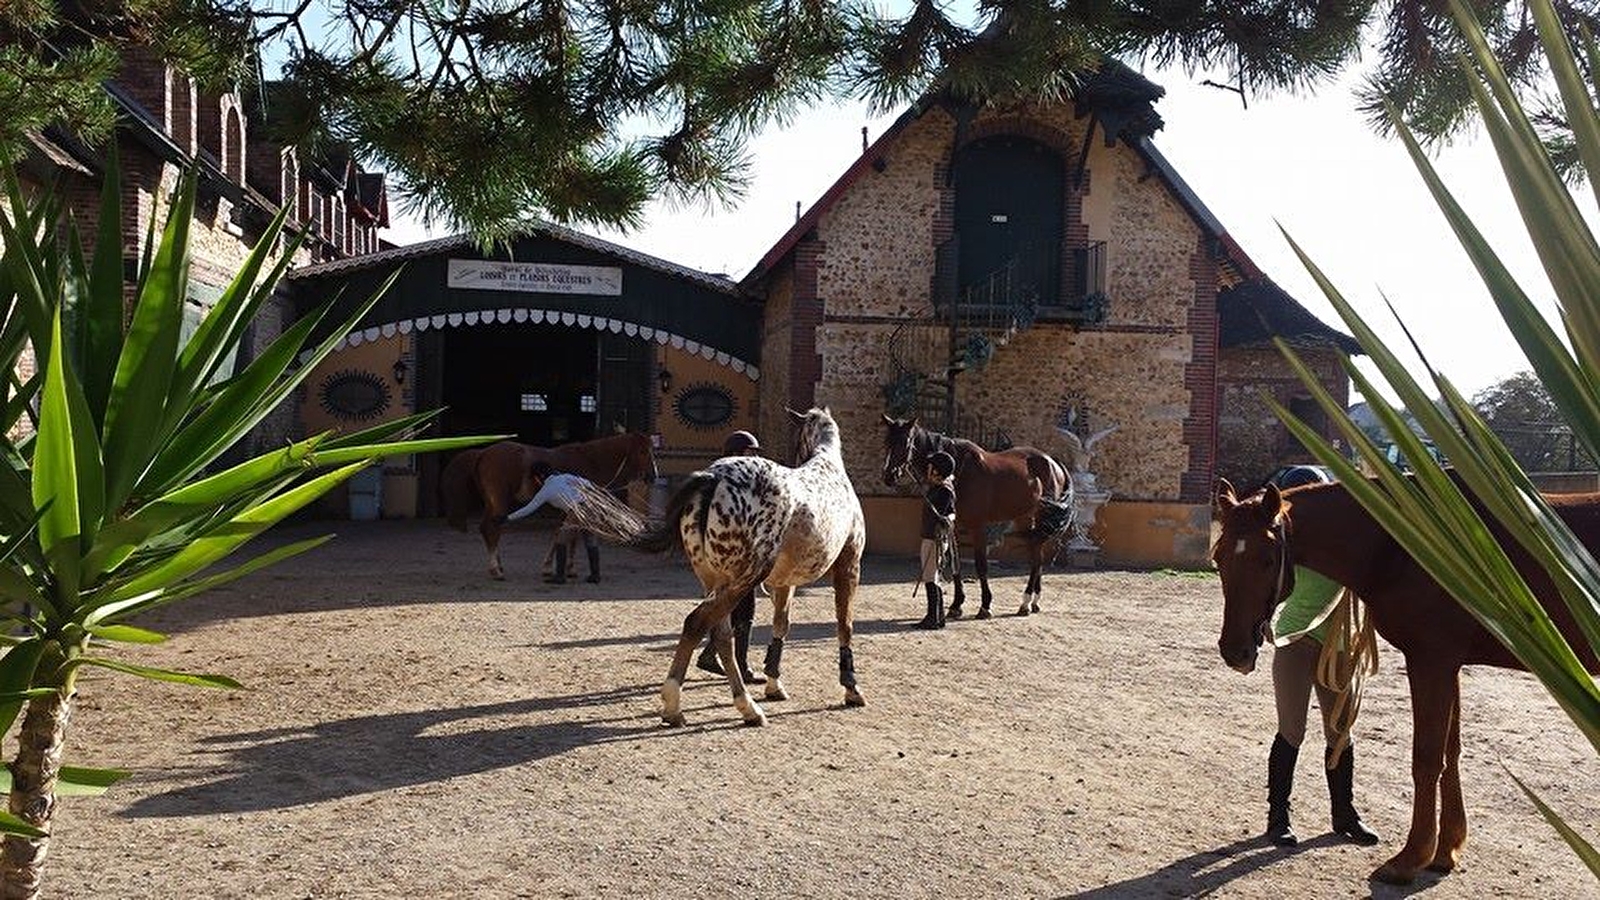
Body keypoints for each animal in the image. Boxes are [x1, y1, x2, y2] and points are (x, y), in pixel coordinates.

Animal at [438, 432, 656, 576]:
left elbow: (563, 535)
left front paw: (554, 567)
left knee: (488, 529)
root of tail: (483, 453)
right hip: (499, 502)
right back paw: (496, 570)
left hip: (492, 504)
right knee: (492, 528)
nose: (653, 476)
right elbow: (567, 536)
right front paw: (563, 568)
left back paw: (497, 566)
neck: (590, 460)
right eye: (643, 452)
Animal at [633, 409, 870, 723]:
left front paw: (774, 684)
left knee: (721, 635)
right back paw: (686, 704)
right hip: (743, 579)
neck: (829, 468)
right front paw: (851, 688)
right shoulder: (849, 564)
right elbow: (845, 625)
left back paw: (744, 706)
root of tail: (713, 477)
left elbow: (782, 625)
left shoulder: (785, 582)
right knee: (697, 623)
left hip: (716, 580)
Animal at [883, 416, 1068, 614]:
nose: (889, 476)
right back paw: (1032, 601)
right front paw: (956, 604)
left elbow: (981, 565)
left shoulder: (978, 526)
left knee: (1036, 558)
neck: (959, 471)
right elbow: (954, 563)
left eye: (905, 442)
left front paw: (985, 605)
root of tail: (1053, 463)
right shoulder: (952, 525)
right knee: (1036, 554)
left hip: (1041, 517)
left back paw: (1026, 601)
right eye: (887, 441)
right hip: (1025, 518)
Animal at [1209, 477, 1600, 883]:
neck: (1403, 544)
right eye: (1218, 558)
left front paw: (1410, 858)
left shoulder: (1431, 661)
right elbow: (1450, 753)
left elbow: (1426, 759)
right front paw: (1446, 851)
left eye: (1267, 559)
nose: (1235, 651)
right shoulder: (1448, 665)